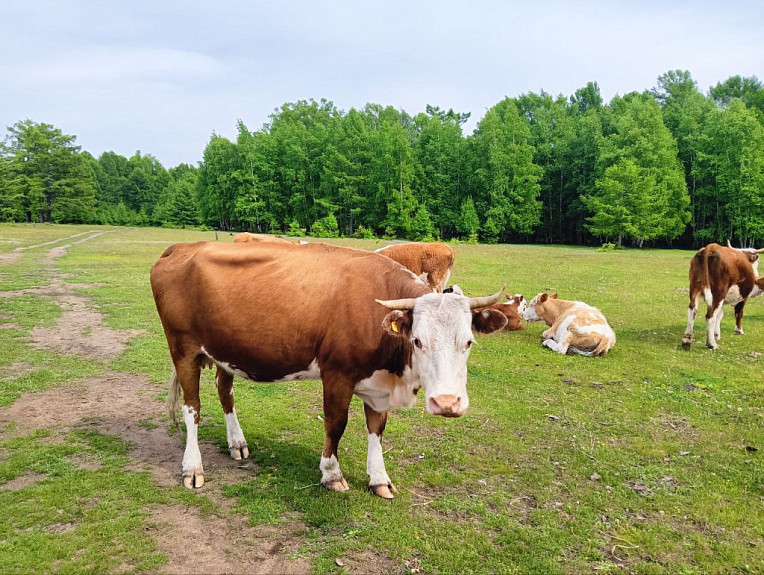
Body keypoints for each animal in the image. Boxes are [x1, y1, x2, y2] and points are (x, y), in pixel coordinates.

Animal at [149, 241, 508, 498]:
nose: (447, 403)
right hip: (183, 349)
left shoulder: (377, 384)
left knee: (225, 391)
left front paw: (379, 478)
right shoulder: (337, 373)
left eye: (469, 342)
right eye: (418, 341)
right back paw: (193, 467)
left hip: (226, 350)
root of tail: (180, 247)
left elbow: (377, 428)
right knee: (192, 408)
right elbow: (336, 424)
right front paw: (331, 474)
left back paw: (237, 443)